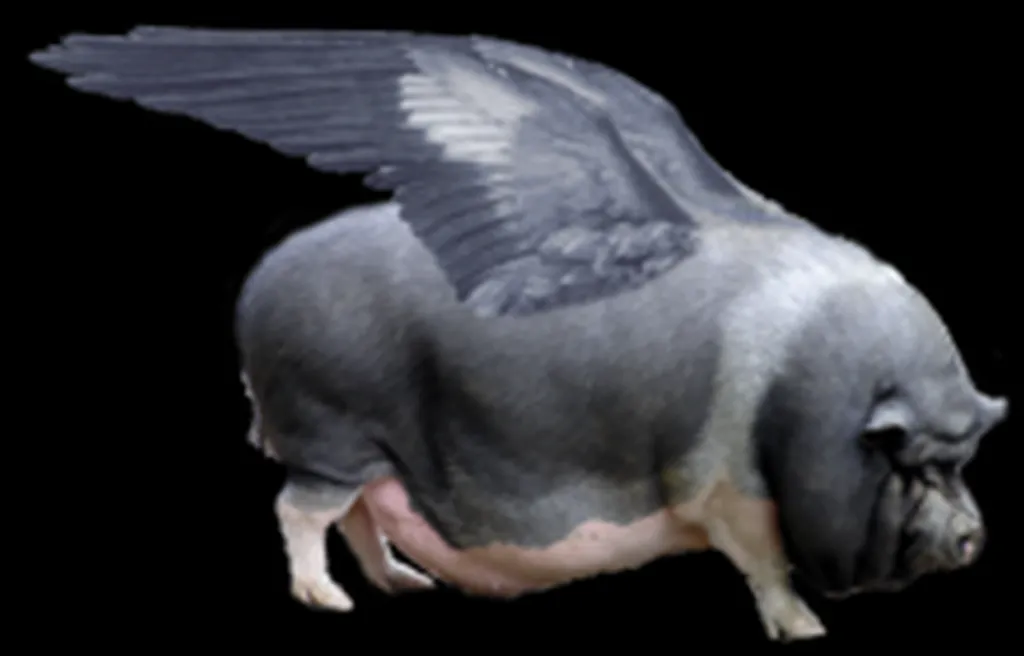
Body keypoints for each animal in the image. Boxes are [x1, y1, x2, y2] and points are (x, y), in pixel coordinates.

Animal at [30, 27, 1008, 641]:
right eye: (909, 464)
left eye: (960, 463)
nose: (973, 537)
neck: (795, 398)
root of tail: (255, 289)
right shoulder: (722, 484)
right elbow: (763, 564)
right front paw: (806, 632)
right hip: (328, 426)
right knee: (299, 509)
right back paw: (329, 604)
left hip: (371, 447)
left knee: (363, 512)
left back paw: (404, 588)